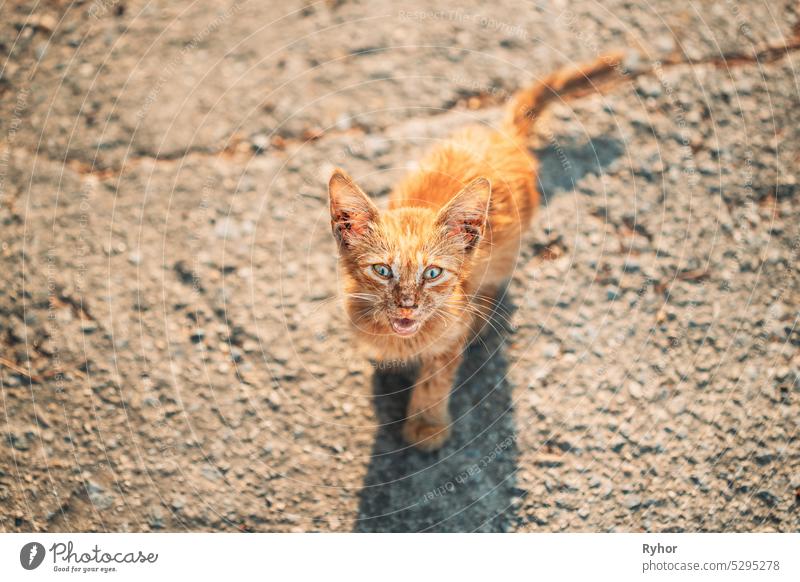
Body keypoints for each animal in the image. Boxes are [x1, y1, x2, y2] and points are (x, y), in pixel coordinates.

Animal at [328, 53, 620, 452]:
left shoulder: (451, 337)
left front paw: (425, 425)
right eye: (382, 271)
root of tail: (501, 136)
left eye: (433, 273)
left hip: (506, 250)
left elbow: (436, 378)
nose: (407, 305)